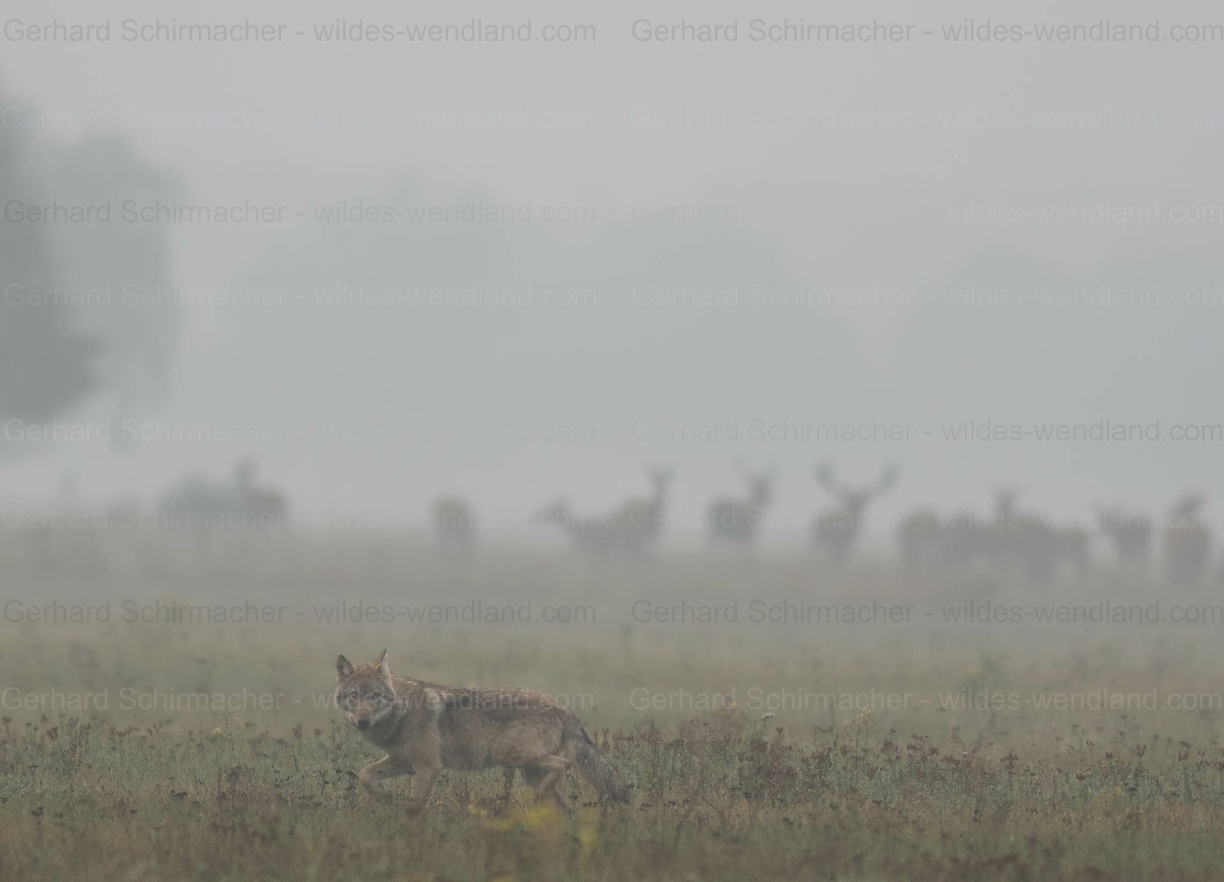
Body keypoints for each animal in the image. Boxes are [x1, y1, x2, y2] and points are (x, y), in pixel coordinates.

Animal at [334, 650, 630, 815]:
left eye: (374, 696)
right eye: (354, 695)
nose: (363, 721)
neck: (402, 711)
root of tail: (563, 709)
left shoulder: (429, 767)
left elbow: (414, 808)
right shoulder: (404, 762)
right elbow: (365, 774)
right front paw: (384, 798)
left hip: (509, 756)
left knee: (564, 764)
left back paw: (531, 803)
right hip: (528, 771)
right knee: (566, 806)